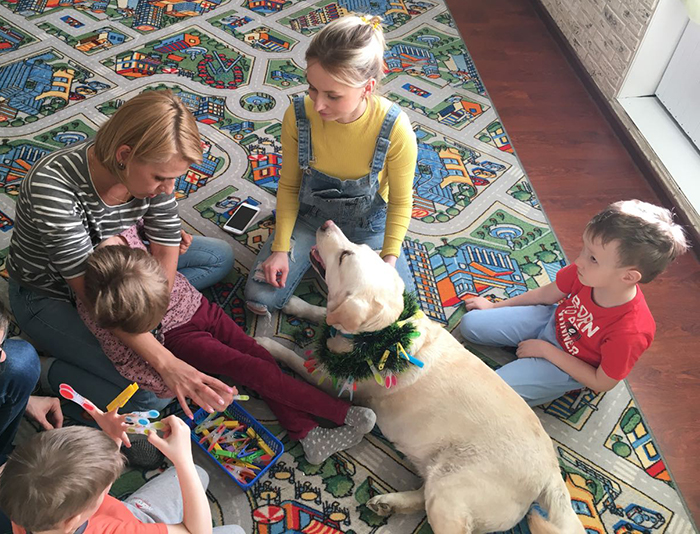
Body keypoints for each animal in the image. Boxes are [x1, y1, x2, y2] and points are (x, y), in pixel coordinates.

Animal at [256, 220, 585, 534]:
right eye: (358, 248)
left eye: (344, 256)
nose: (326, 224)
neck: (381, 334)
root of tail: (551, 472)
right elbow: (322, 314)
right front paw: (296, 304)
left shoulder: (333, 382)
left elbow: (296, 358)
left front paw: (266, 345)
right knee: (423, 494)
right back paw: (388, 503)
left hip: (452, 491)